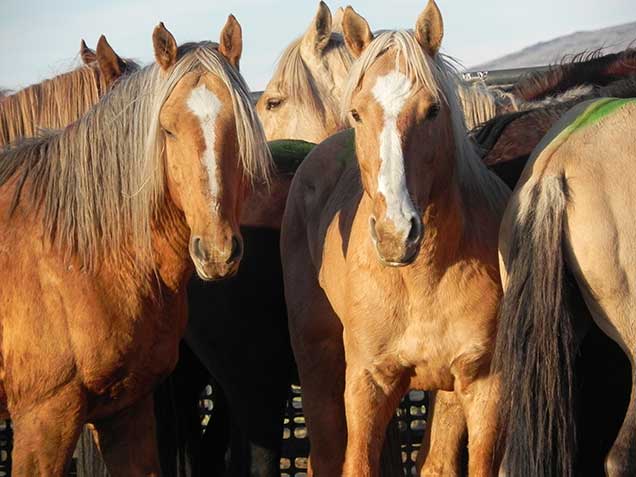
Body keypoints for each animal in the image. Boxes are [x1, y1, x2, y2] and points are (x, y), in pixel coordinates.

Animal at [280, 1, 510, 474]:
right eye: (357, 113)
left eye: (433, 110)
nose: (395, 233)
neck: (422, 279)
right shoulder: (368, 384)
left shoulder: (482, 385)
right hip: (316, 358)